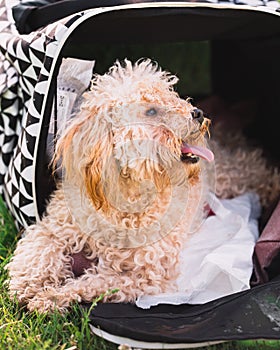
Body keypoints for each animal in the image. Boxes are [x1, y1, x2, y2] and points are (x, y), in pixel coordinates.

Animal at [7, 58, 280, 314]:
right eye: (150, 112)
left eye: (171, 94)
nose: (198, 112)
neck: (129, 192)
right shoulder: (56, 225)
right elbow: (38, 249)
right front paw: (26, 284)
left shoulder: (143, 276)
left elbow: (89, 283)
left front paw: (51, 297)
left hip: (234, 174)